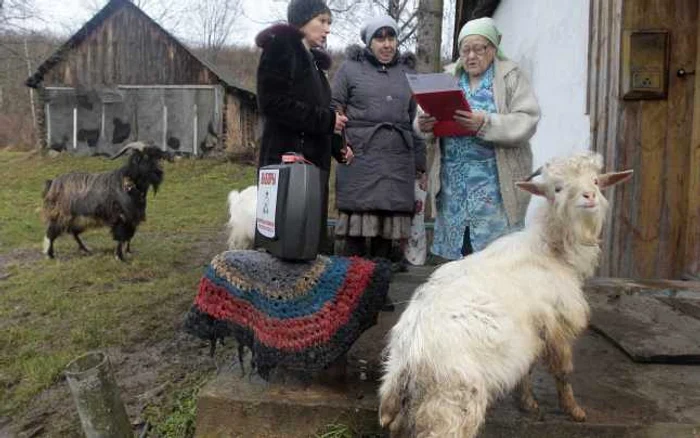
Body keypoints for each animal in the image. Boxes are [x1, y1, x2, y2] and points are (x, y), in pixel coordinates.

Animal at [378, 152, 636, 436]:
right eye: (557, 189)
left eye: (596, 181)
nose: (589, 196)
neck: (550, 250)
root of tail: (407, 361)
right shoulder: (557, 325)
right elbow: (562, 372)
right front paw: (574, 410)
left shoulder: (532, 332)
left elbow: (526, 369)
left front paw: (528, 403)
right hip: (451, 406)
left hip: (409, 412)